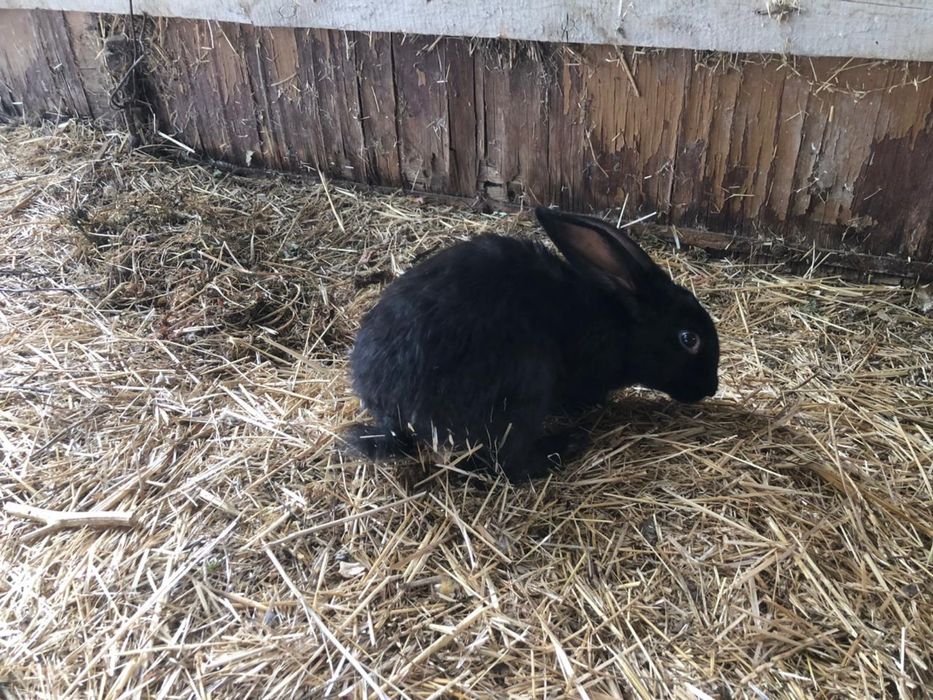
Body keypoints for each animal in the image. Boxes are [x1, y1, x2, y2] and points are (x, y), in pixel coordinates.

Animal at [343, 206, 719, 482]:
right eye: (689, 339)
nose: (712, 388)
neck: (621, 323)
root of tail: (395, 415)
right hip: (526, 383)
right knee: (508, 462)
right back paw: (566, 445)